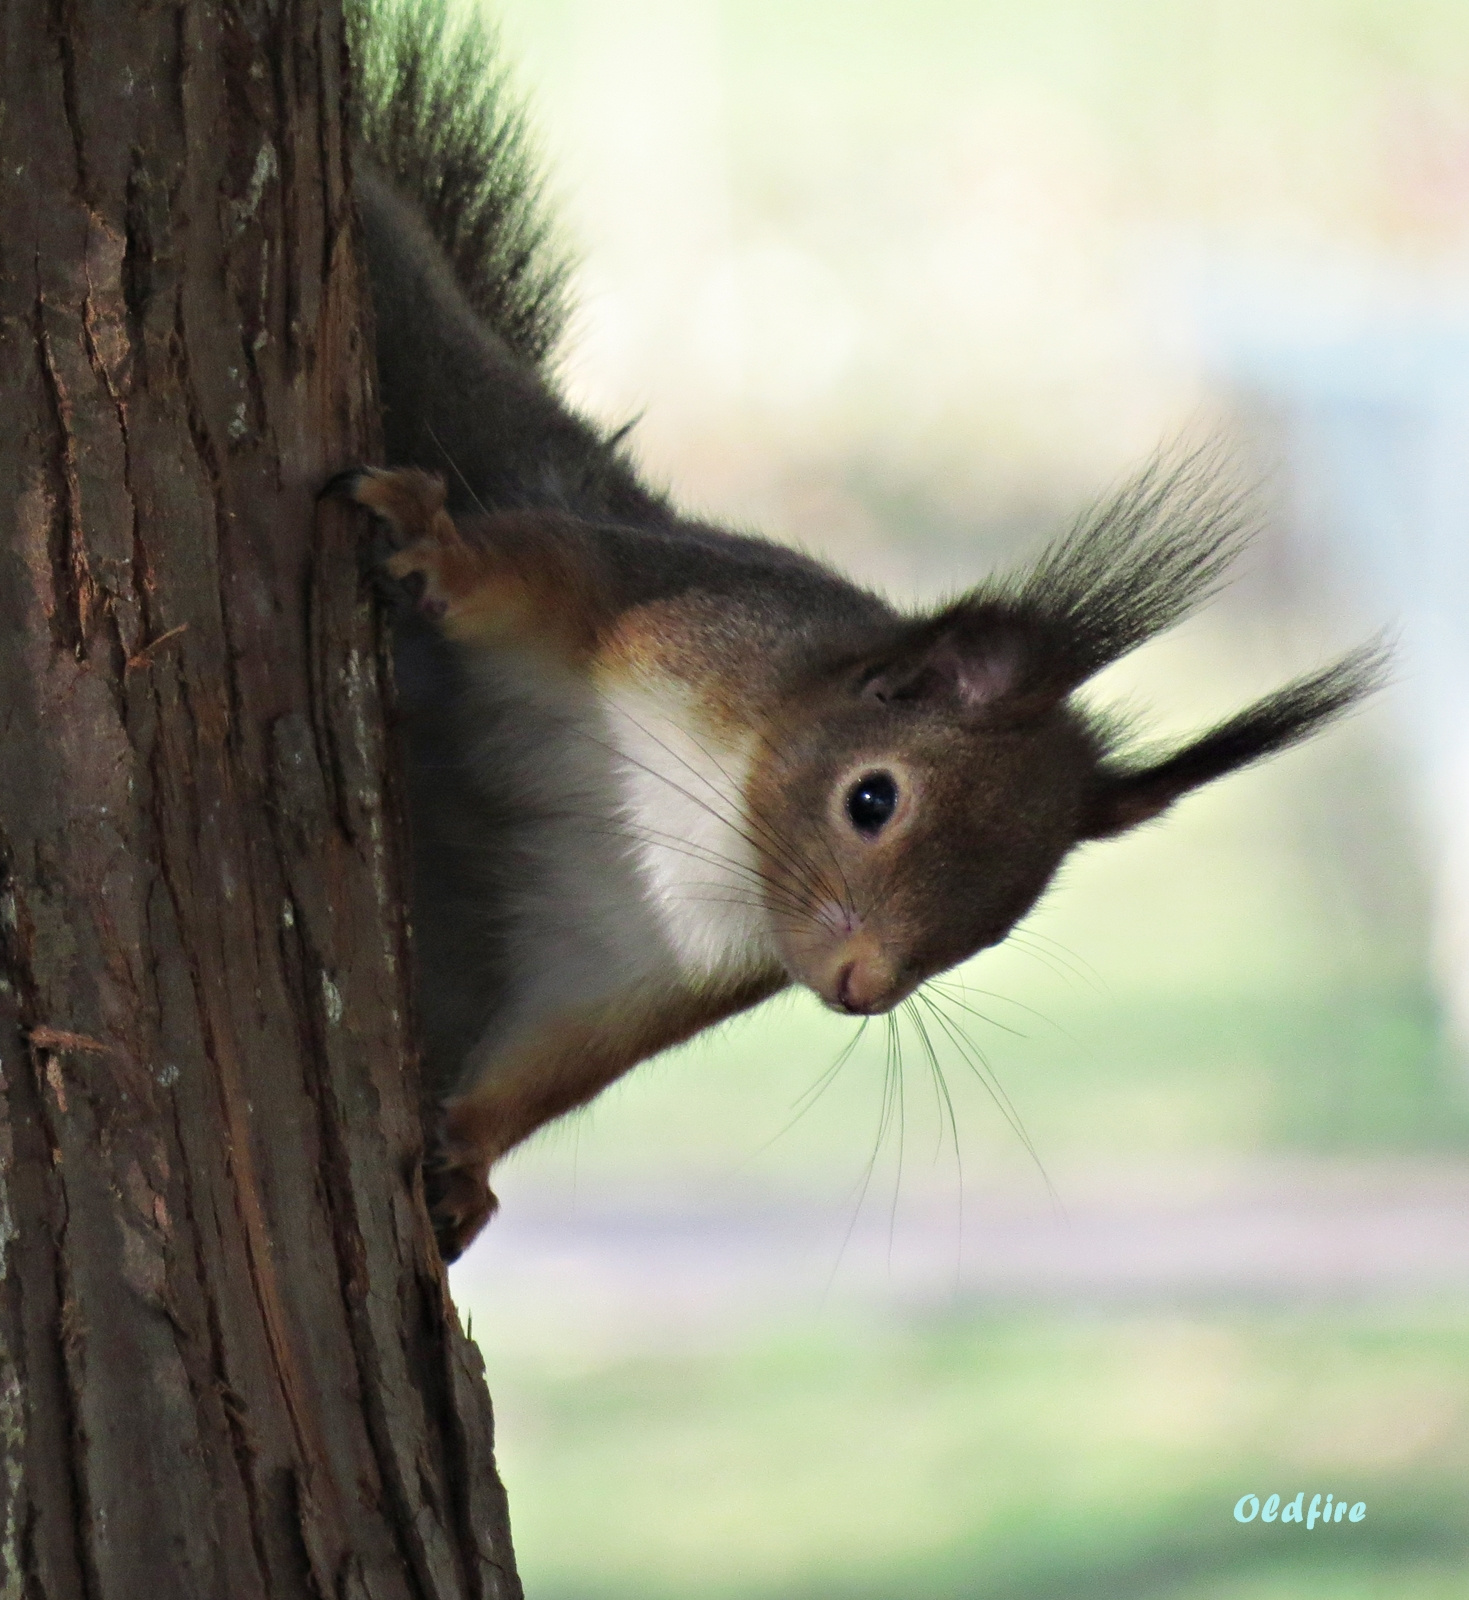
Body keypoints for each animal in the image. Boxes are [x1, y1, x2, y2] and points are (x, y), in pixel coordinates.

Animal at [339, 12, 1388, 1260]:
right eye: (871, 800)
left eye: (1004, 917)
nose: (856, 985)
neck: (719, 801)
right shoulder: (644, 610)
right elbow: (520, 568)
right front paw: (435, 547)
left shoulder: (638, 952)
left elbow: (559, 1051)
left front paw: (467, 1160)